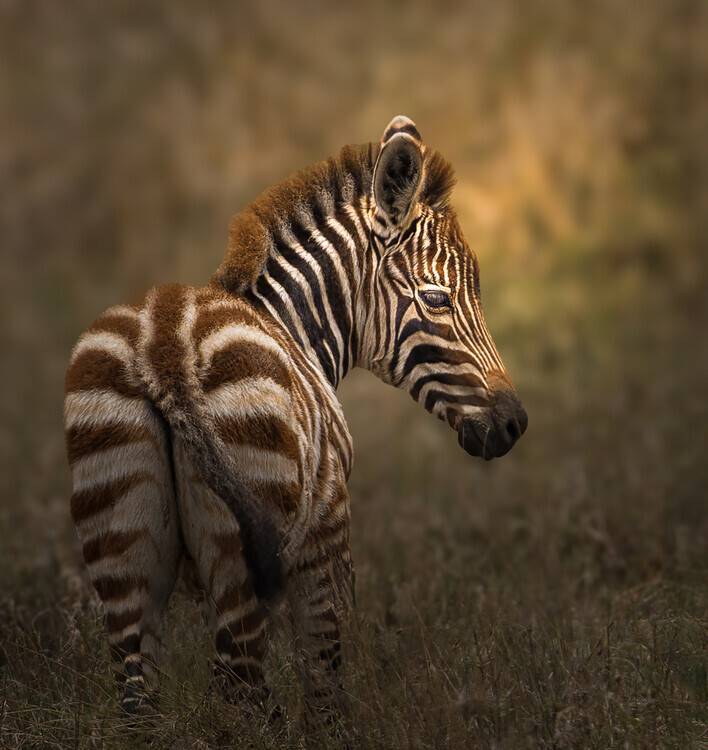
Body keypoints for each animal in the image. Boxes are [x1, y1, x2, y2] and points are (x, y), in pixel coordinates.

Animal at [64, 116, 527, 720]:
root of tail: (164, 346)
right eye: (436, 298)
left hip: (122, 545)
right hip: (243, 555)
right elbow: (325, 687)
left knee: (141, 705)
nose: (514, 424)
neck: (290, 325)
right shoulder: (326, 537)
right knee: (239, 701)